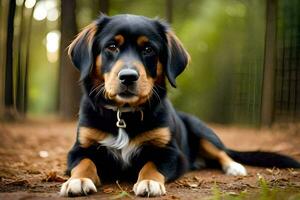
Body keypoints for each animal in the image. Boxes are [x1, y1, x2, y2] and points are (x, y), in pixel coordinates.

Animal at [59, 14, 300, 197]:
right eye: (111, 47)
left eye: (148, 49)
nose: (128, 77)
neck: (124, 114)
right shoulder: (80, 147)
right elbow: (84, 162)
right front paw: (78, 181)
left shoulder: (170, 152)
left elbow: (151, 165)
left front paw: (149, 182)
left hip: (200, 129)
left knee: (222, 152)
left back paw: (234, 167)